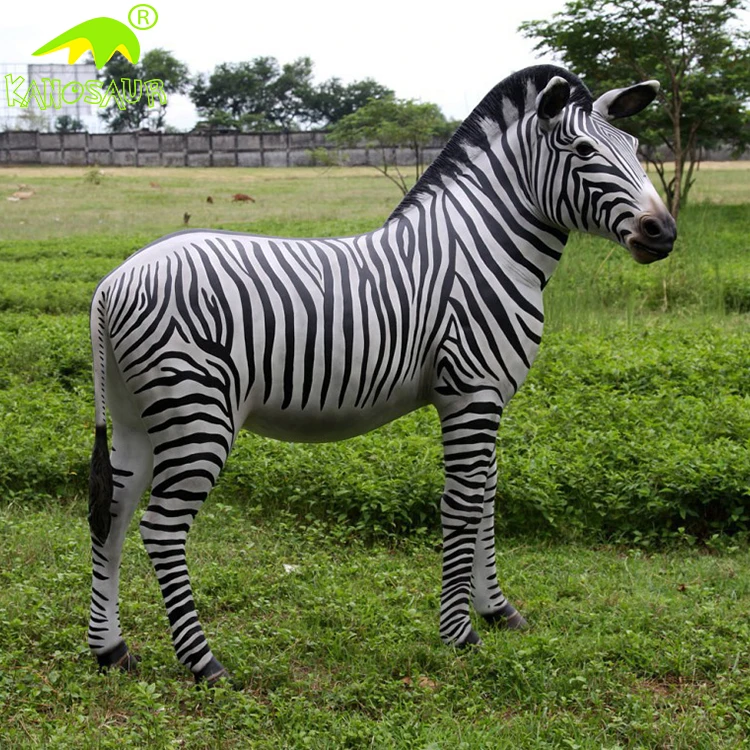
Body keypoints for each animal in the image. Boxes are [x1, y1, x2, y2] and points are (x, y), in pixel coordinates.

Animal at [87, 65, 676, 684]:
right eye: (583, 150)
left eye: (636, 147)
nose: (663, 232)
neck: (486, 249)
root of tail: (113, 282)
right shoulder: (471, 392)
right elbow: (462, 506)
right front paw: (459, 634)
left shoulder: (490, 396)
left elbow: (488, 497)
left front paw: (497, 610)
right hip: (197, 410)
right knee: (160, 528)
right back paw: (204, 664)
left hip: (136, 417)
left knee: (112, 515)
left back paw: (111, 649)